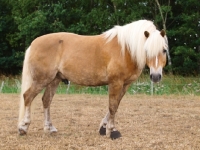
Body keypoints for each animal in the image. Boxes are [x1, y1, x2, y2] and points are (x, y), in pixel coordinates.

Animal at [18, 19, 169, 139]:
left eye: (164, 50)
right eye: (147, 50)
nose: (156, 76)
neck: (126, 49)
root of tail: (33, 44)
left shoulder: (124, 85)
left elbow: (116, 105)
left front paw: (103, 128)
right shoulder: (115, 82)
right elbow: (112, 106)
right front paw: (112, 131)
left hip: (54, 80)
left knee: (46, 101)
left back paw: (49, 128)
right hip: (42, 80)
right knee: (28, 97)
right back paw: (23, 127)